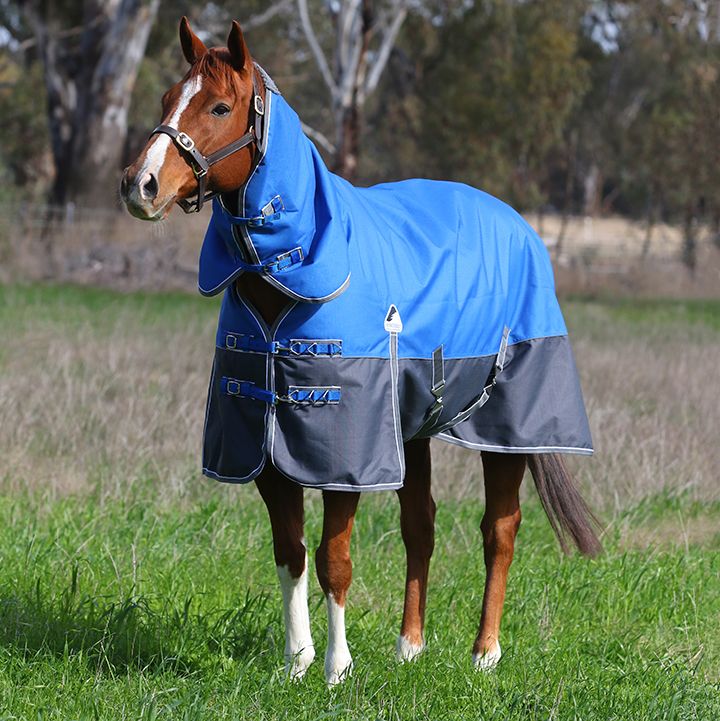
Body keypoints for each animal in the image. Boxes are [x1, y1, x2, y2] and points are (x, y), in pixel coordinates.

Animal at [119, 14, 600, 684]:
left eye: (218, 106)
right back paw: (410, 646)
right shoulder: (271, 452)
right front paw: (296, 662)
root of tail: (519, 225)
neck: (289, 278)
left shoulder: (344, 456)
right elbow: (291, 554)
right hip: (413, 430)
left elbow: (333, 559)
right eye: (167, 98)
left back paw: (485, 653)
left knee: (499, 530)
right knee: (420, 526)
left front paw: (336, 668)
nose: (139, 186)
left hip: (506, 429)